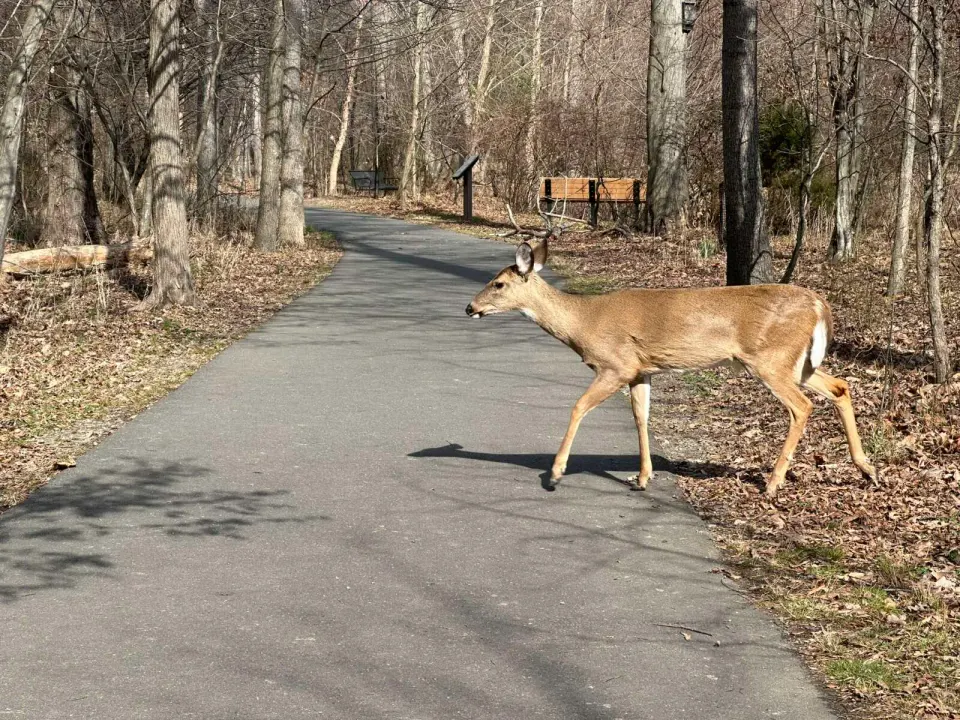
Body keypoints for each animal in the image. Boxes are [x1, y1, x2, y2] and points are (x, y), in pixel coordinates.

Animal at [465, 236, 877, 498]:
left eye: (498, 283)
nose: (470, 308)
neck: (582, 323)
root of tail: (819, 304)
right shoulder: (641, 370)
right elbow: (641, 417)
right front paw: (642, 477)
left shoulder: (615, 365)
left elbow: (579, 406)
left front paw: (555, 472)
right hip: (799, 362)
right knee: (840, 386)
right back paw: (867, 470)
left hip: (770, 360)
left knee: (802, 406)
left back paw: (774, 483)